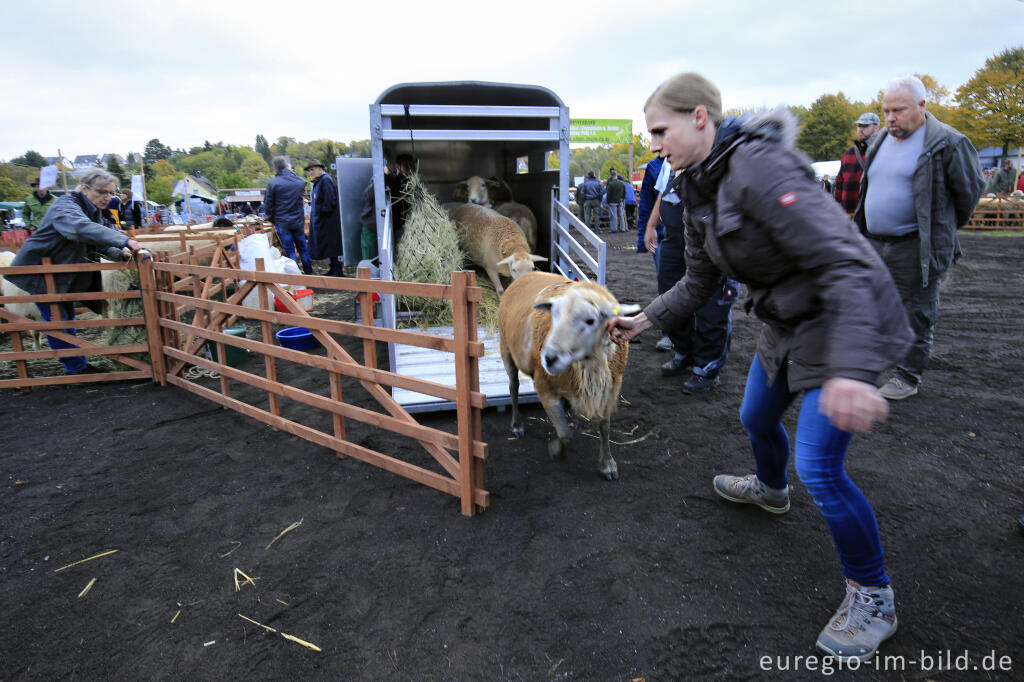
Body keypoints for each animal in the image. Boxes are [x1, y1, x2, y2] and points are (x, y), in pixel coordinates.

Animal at [495, 270, 638, 477]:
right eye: (553, 315)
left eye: (590, 320)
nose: (549, 358)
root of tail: (528, 273)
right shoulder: (543, 386)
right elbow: (565, 434)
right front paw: (557, 450)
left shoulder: (611, 387)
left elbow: (605, 426)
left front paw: (607, 463)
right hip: (506, 348)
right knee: (513, 386)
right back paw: (517, 425)